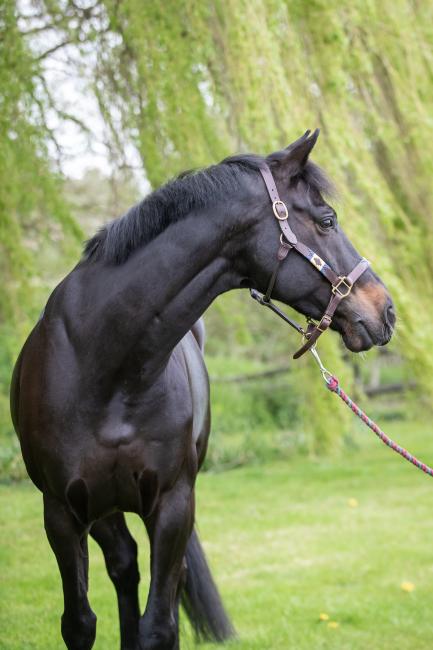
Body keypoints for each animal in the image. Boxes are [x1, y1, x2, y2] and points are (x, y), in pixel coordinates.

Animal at [10, 130, 395, 650]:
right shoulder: (62, 512)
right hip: (104, 508)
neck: (104, 369)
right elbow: (79, 623)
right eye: (327, 220)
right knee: (124, 566)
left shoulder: (174, 505)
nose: (386, 310)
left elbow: (159, 626)